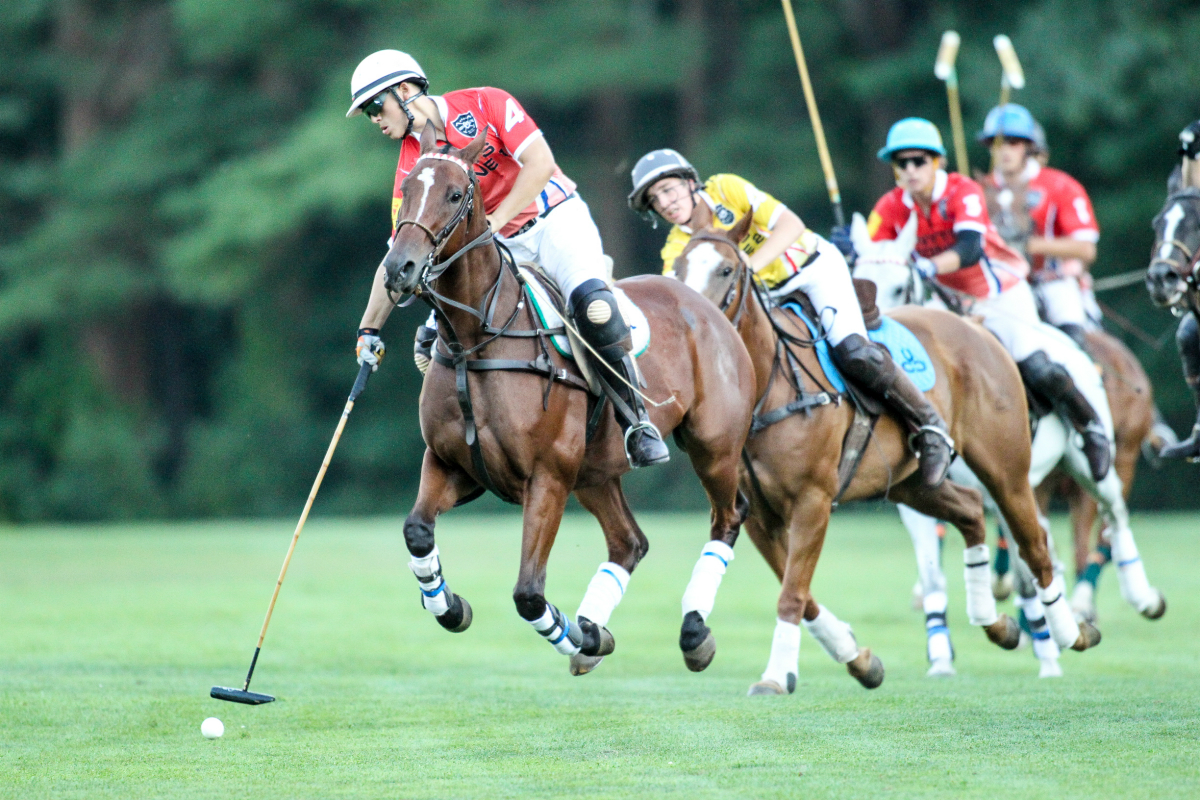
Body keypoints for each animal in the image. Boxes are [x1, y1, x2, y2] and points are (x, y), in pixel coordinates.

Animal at [376, 126, 748, 676]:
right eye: (405, 191)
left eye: (455, 194)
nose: (399, 268)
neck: (476, 339)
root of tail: (704, 304)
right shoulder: (454, 465)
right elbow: (417, 531)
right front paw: (449, 605)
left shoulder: (547, 477)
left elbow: (528, 593)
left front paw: (576, 636)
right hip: (595, 473)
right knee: (629, 541)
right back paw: (598, 625)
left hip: (714, 445)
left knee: (727, 516)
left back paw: (693, 632)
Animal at [672, 212, 1099, 695]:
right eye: (678, 267)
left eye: (726, 270)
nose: (694, 316)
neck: (769, 385)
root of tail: (977, 326)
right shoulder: (760, 515)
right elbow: (801, 592)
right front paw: (859, 659)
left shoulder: (813, 501)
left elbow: (792, 593)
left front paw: (775, 677)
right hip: (911, 484)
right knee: (970, 510)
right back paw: (996, 622)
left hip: (1006, 469)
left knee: (1036, 545)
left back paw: (1071, 633)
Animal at [849, 211, 1166, 676]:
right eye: (856, 277)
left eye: (900, 286)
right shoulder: (919, 498)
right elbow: (935, 575)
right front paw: (940, 657)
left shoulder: (999, 487)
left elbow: (1027, 569)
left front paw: (1046, 652)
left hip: (1095, 467)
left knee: (1113, 515)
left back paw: (1140, 597)